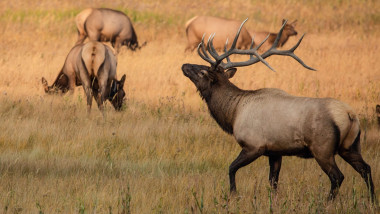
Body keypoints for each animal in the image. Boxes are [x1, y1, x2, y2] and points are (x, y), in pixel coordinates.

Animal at [182, 18, 378, 202]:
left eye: (203, 72)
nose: (184, 65)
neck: (233, 113)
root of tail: (350, 115)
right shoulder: (275, 151)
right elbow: (273, 182)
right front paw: (273, 201)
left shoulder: (254, 145)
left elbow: (231, 168)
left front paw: (233, 195)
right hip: (350, 146)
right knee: (366, 169)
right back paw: (372, 200)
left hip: (323, 148)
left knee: (337, 176)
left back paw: (327, 202)